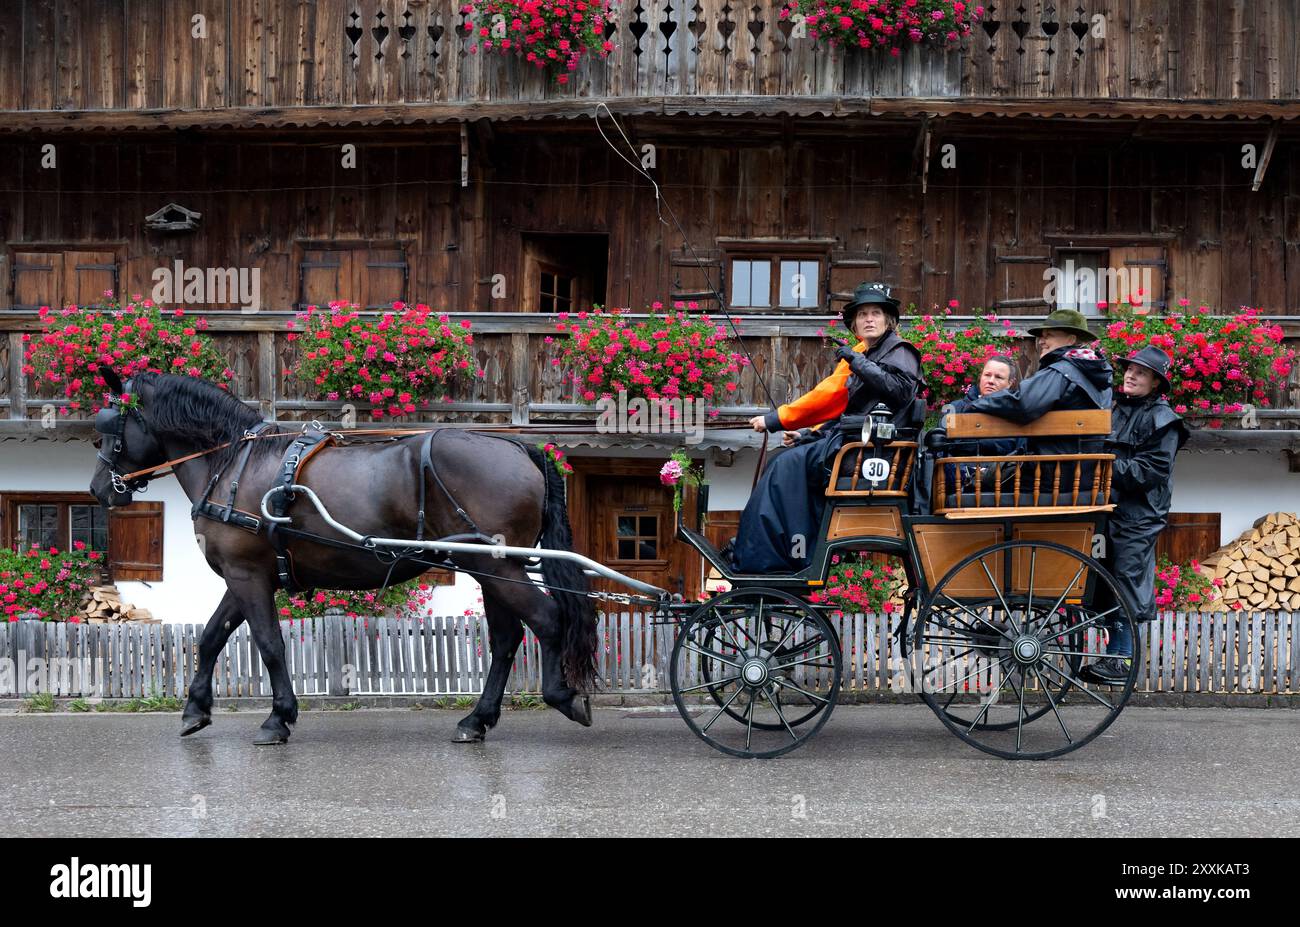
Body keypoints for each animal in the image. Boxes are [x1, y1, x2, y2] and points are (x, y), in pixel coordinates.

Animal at [89, 369, 595, 743]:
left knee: (548, 620)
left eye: (107, 430)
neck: (231, 464)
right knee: (507, 639)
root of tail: (519, 447)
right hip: (492, 570)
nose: (98, 490)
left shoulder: (246, 575)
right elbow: (212, 636)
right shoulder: (246, 576)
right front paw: (196, 709)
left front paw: (278, 718)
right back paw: (477, 720)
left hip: (495, 565)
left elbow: (268, 644)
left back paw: (562, 697)